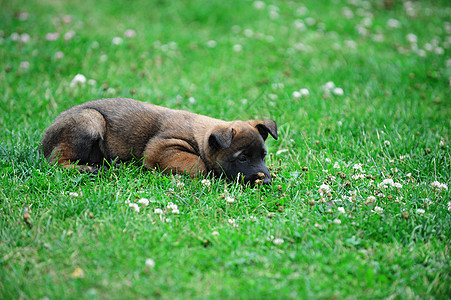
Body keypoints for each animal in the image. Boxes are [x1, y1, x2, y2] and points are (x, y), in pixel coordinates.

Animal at [39, 98, 278, 184]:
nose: (266, 181)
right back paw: (90, 169)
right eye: (243, 158)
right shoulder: (162, 148)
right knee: (56, 162)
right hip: (91, 120)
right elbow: (200, 165)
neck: (200, 135)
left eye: (263, 157)